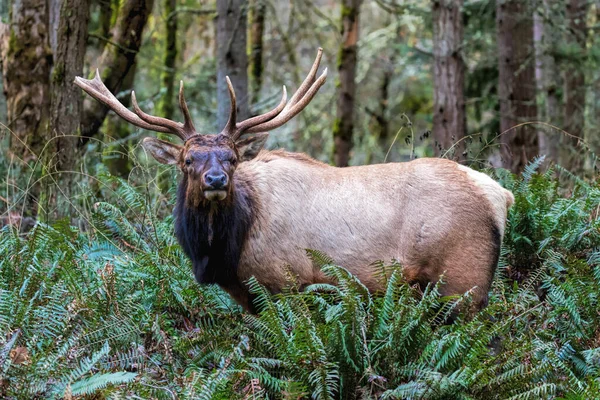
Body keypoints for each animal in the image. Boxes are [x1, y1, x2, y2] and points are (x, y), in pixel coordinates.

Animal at [76, 49, 516, 312]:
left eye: (233, 158)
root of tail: (501, 195)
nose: (216, 179)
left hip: (463, 280)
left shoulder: (287, 283)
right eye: (188, 160)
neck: (220, 254)